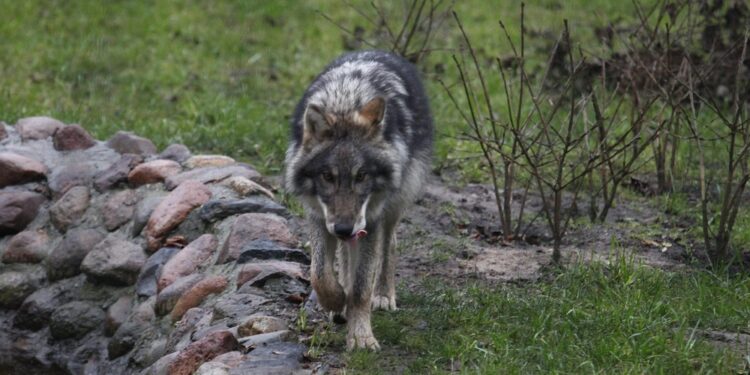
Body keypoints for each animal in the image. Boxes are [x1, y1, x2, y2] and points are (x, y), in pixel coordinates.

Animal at [284, 49, 434, 350]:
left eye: (361, 175)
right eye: (327, 176)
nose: (344, 228)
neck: (344, 102)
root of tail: (380, 51)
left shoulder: (370, 221)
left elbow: (362, 286)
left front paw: (362, 336)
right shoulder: (318, 216)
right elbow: (319, 274)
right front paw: (336, 301)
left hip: (394, 204)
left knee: (389, 244)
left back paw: (384, 295)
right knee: (343, 258)